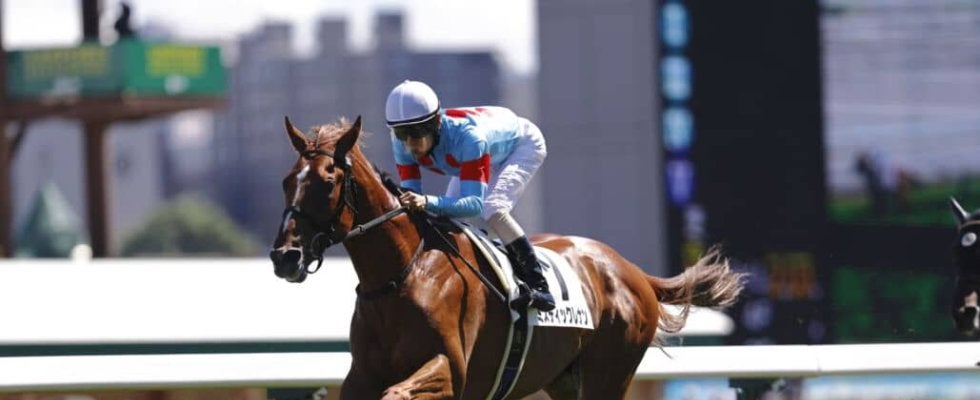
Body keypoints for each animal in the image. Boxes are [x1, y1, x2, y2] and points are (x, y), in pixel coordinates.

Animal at [268, 116, 746, 399]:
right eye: (287, 181)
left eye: (328, 181)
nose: (285, 257)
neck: (401, 275)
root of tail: (631, 271)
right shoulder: (361, 375)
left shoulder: (450, 369)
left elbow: (400, 391)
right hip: (563, 378)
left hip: (610, 371)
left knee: (494, 205)